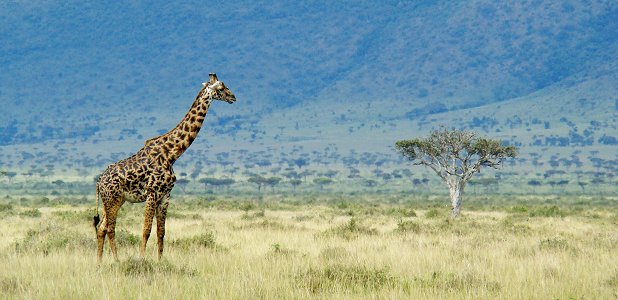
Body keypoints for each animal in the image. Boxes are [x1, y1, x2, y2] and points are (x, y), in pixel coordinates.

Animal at [93, 72, 236, 262]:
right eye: (221, 87)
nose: (233, 97)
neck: (172, 154)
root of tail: (99, 181)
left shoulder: (165, 196)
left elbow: (161, 232)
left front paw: (160, 261)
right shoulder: (152, 193)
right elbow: (146, 230)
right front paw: (141, 259)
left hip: (113, 200)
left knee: (101, 227)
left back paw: (99, 262)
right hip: (113, 199)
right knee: (110, 228)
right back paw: (116, 260)